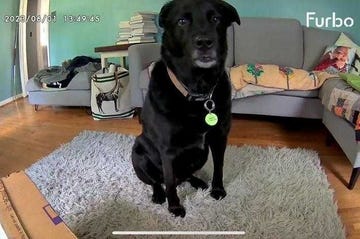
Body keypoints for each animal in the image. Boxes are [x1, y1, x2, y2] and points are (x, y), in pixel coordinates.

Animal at [131, 0, 239, 217]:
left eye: (216, 19)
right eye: (182, 21)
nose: (204, 43)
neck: (199, 91)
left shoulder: (219, 137)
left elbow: (219, 167)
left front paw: (217, 190)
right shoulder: (168, 150)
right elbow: (170, 182)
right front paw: (174, 207)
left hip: (200, 155)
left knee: (185, 175)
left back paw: (198, 182)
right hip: (137, 153)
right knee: (158, 181)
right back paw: (158, 195)